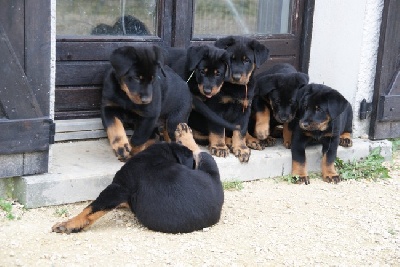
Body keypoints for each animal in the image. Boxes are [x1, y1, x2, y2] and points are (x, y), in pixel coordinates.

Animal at [51, 123, 223, 234]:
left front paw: (69, 224)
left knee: (198, 151)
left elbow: (91, 209)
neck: (158, 155)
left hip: (208, 160)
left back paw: (184, 132)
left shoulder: (119, 186)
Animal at [189, 35, 270, 163]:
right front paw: (219, 147)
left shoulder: (244, 109)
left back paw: (252, 140)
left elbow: (241, 130)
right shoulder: (215, 109)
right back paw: (228, 142)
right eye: (230, 60)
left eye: (247, 60)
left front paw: (241, 148)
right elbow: (218, 130)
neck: (235, 88)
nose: (236, 77)